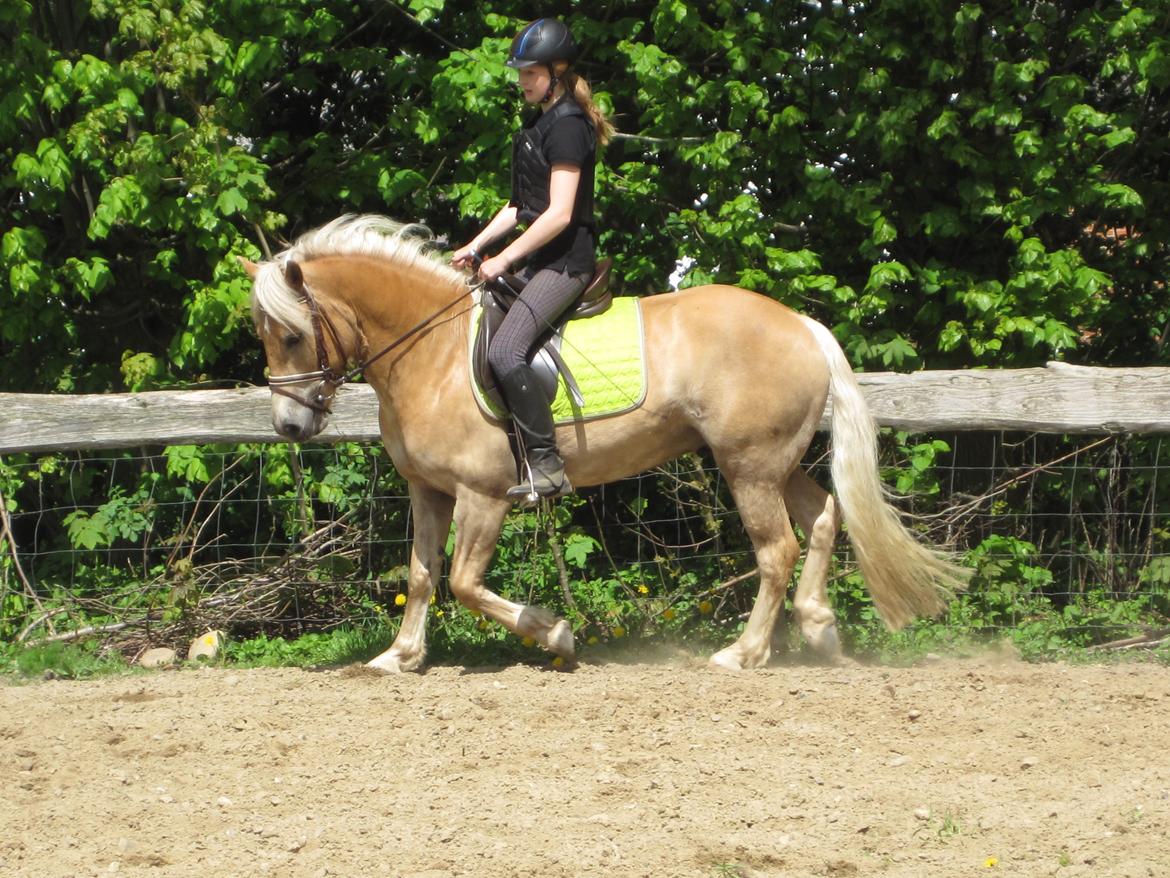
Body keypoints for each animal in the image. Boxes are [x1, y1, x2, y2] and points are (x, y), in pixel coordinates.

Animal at [243, 214, 967, 672]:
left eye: (292, 335)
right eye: (264, 336)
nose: (290, 427)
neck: (434, 351)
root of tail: (801, 325)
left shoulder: (483, 495)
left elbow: (466, 583)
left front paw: (557, 634)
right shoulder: (429, 491)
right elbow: (422, 576)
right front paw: (398, 656)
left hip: (749, 465)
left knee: (776, 550)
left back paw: (742, 653)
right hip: (774, 461)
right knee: (822, 518)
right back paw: (818, 626)